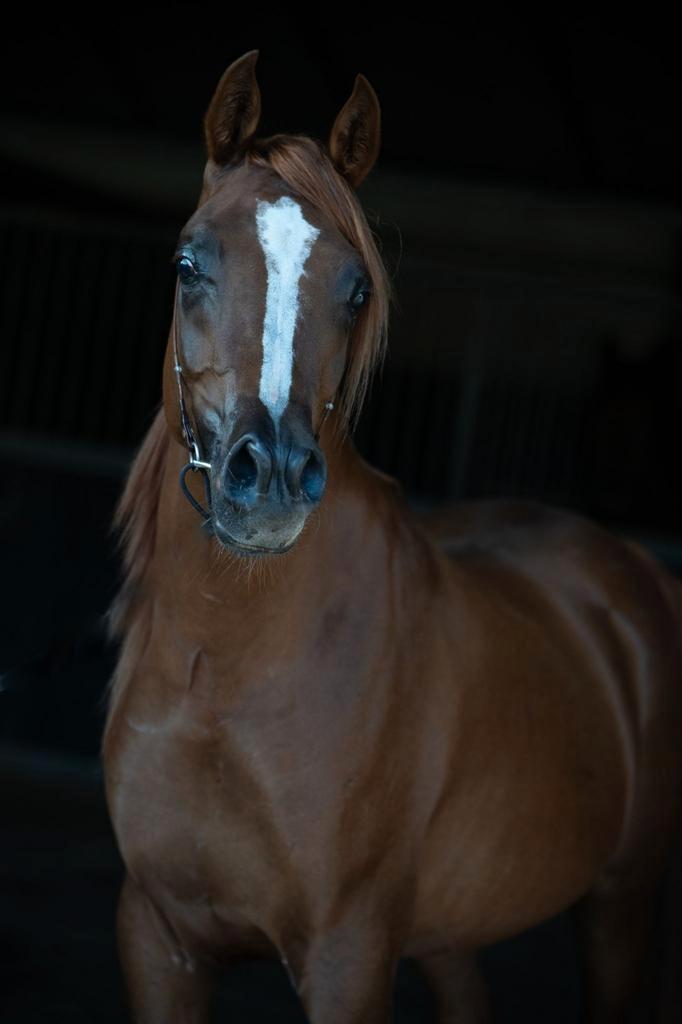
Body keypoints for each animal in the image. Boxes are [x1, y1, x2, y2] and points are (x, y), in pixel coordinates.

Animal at [102, 50, 682, 1023]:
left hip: (622, 906)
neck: (224, 676)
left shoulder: (350, 954)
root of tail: (631, 571)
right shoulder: (157, 939)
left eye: (357, 289)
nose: (269, 478)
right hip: (451, 936)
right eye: (188, 263)